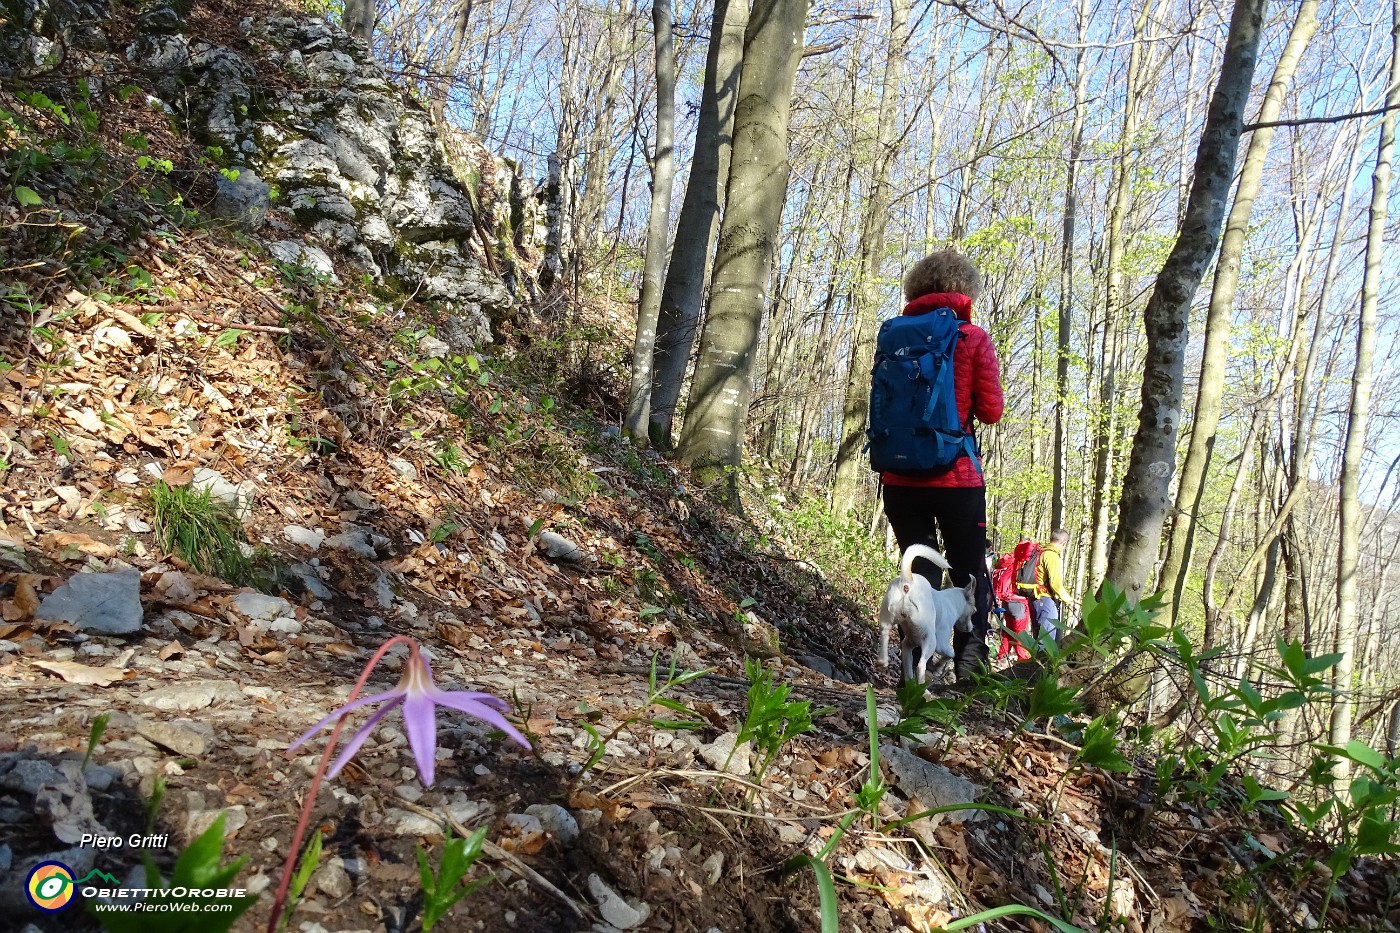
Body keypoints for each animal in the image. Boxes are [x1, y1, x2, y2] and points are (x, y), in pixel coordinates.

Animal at [873, 546, 974, 683]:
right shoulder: (941, 644)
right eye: (974, 611)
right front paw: (938, 667)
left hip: (887, 617)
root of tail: (908, 582)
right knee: (921, 665)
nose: (971, 628)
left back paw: (883, 662)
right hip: (931, 640)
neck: (951, 601)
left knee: (884, 632)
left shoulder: (908, 644)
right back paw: (923, 686)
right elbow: (951, 653)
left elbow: (908, 666)